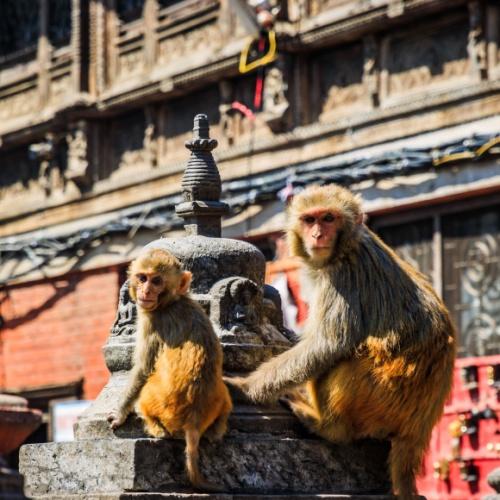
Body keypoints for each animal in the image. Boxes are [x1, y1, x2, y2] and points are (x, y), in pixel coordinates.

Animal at [108, 248, 232, 490]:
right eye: (143, 278)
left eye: (157, 281)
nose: (146, 290)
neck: (172, 301)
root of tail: (193, 421)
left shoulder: (152, 322)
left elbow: (143, 369)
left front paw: (119, 413)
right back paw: (216, 431)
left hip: (161, 403)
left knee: (146, 394)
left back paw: (155, 428)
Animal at [227, 185, 458, 500]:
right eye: (310, 219)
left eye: (328, 218)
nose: (317, 235)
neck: (346, 245)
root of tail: (418, 427)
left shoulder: (341, 275)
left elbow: (327, 345)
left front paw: (246, 388)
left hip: (382, 397)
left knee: (346, 358)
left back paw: (328, 427)